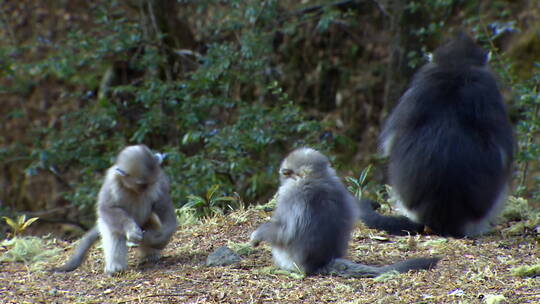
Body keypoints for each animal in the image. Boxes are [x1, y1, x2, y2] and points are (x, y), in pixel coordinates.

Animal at [52, 145, 176, 276]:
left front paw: (160, 239)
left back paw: (150, 254)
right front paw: (131, 229)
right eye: (142, 185)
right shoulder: (111, 183)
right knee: (115, 232)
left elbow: (165, 208)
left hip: (146, 220)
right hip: (108, 222)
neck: (131, 189)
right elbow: (107, 208)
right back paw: (116, 268)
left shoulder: (160, 181)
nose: (146, 190)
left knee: (151, 225)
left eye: (150, 183)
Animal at [249, 148, 438, 276]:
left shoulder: (290, 195)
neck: (316, 178)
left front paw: (257, 236)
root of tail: (320, 263)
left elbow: (284, 231)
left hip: (288, 260)